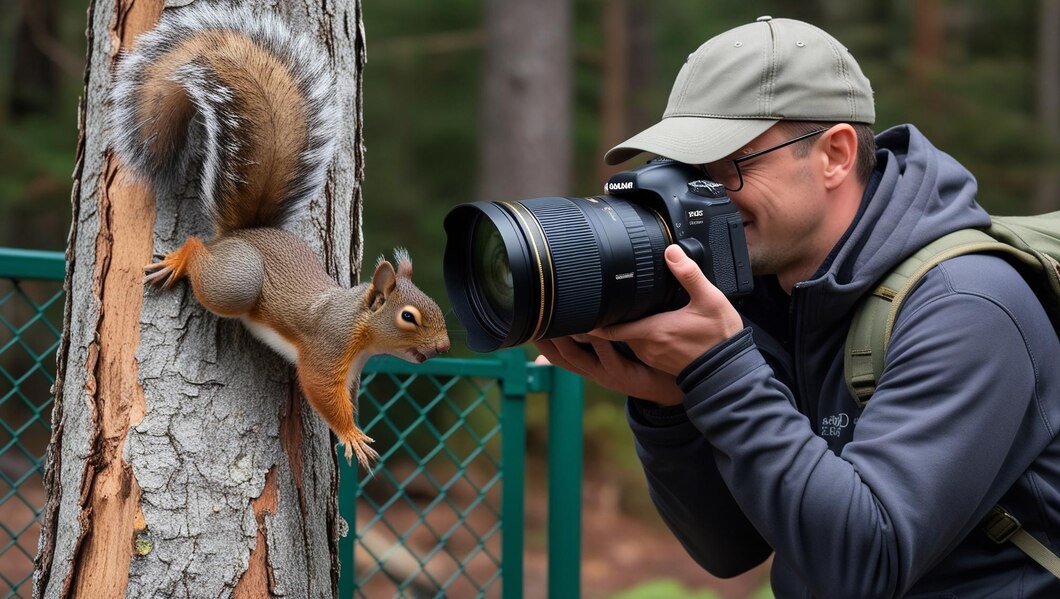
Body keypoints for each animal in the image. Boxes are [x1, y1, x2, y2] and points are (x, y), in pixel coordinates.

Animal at [109, 3, 449, 466]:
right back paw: (182, 257)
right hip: (236, 281)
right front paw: (352, 435)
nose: (444, 348)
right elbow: (322, 392)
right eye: (408, 317)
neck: (360, 326)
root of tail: (243, 235)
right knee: (201, 252)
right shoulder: (327, 349)